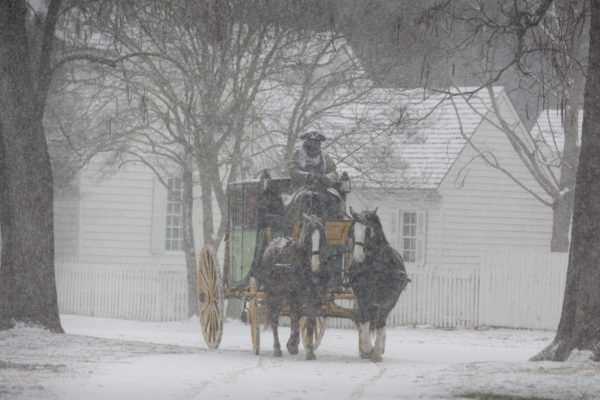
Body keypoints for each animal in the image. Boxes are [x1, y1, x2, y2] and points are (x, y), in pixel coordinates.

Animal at [260, 212, 328, 360]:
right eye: (308, 236)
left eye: (322, 236)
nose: (316, 265)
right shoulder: (294, 295)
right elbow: (295, 318)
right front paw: (292, 344)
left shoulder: (314, 297)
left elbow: (310, 324)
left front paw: (309, 351)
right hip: (274, 294)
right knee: (275, 319)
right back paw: (277, 348)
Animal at [350, 209, 410, 362]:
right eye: (352, 229)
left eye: (367, 230)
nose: (358, 257)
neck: (377, 267)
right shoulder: (362, 298)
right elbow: (364, 320)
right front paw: (367, 349)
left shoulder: (388, 301)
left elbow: (381, 324)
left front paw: (376, 352)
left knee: (380, 323)